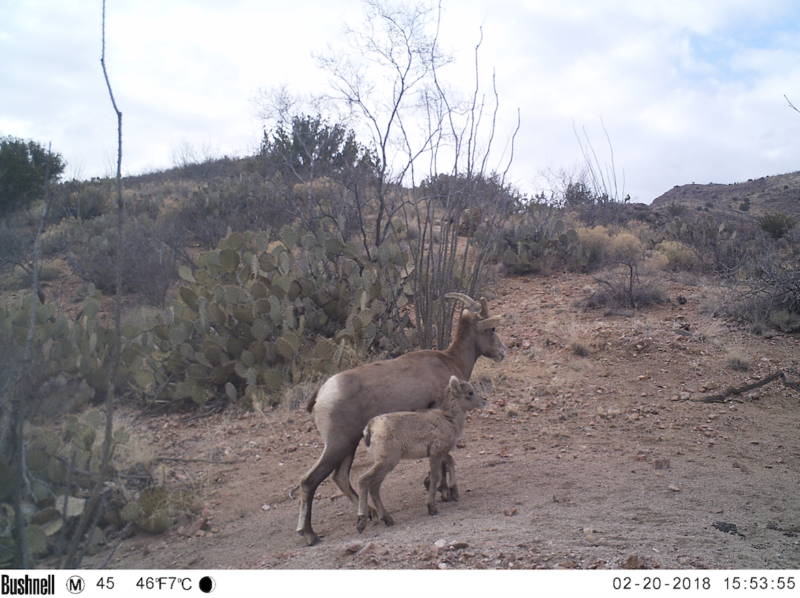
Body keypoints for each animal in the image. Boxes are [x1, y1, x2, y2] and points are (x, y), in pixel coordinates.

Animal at [358, 378, 488, 532]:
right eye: (470, 392)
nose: (484, 400)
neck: (448, 420)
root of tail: (370, 429)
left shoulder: (440, 453)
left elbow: (450, 462)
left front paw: (454, 493)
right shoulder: (435, 453)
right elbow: (435, 476)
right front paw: (432, 507)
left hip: (383, 463)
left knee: (374, 488)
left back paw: (388, 520)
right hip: (387, 462)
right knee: (363, 480)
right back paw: (361, 522)